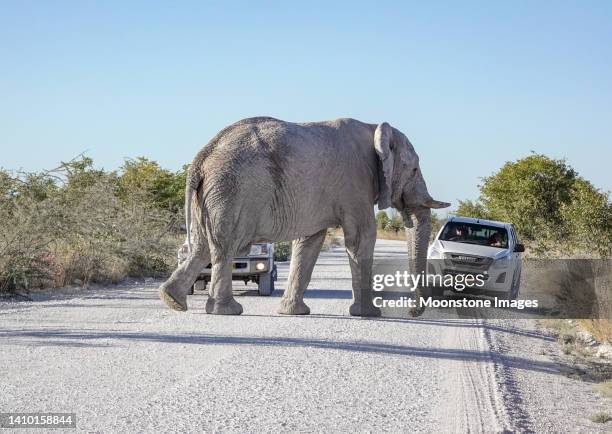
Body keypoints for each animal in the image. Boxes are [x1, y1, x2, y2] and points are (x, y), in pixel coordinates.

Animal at [160, 117, 450, 318]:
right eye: (414, 170)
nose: (412, 311)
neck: (374, 128)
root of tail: (202, 156)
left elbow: (309, 243)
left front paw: (293, 313)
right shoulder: (355, 184)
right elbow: (361, 239)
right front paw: (369, 314)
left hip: (212, 195)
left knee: (202, 247)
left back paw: (173, 301)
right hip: (231, 191)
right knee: (223, 248)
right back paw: (229, 311)